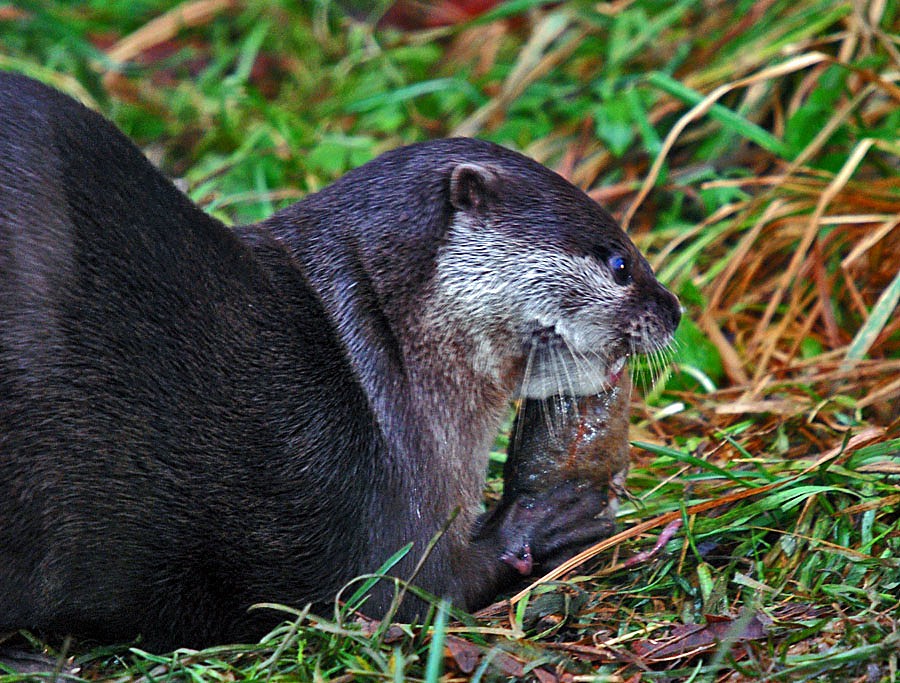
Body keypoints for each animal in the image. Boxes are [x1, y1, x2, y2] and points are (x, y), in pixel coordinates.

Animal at [0, 73, 680, 651]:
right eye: (620, 263)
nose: (674, 309)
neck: (389, 367)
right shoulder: (381, 519)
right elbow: (417, 592)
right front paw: (548, 519)